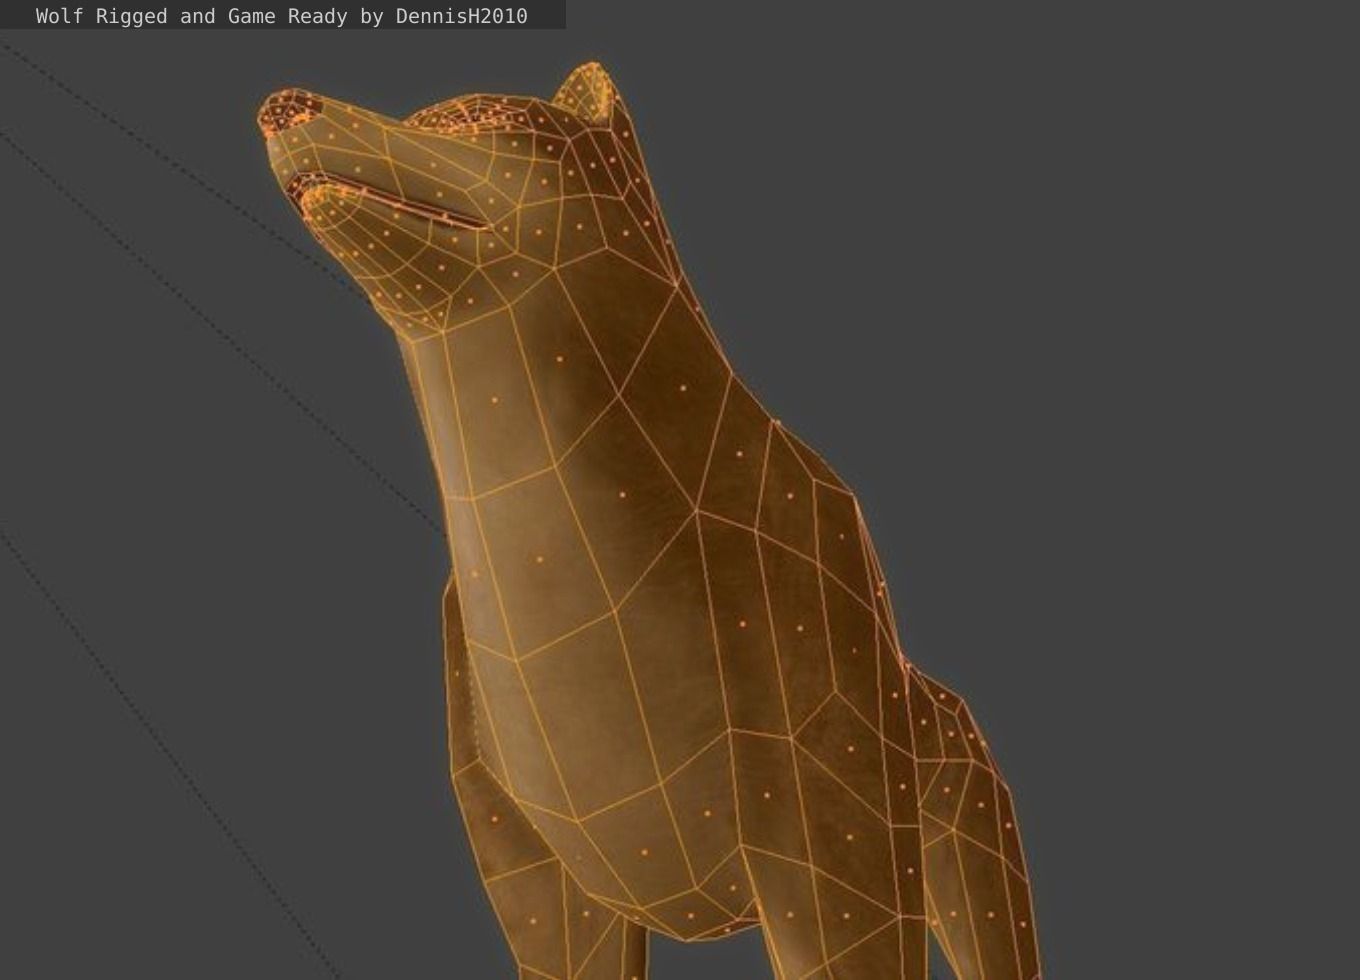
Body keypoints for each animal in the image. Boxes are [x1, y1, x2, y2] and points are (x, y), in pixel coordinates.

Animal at [259, 62, 1041, 980]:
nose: (283, 104)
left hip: (959, 813)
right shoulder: (535, 866)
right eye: (428, 115)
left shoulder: (835, 832)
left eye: (477, 118)